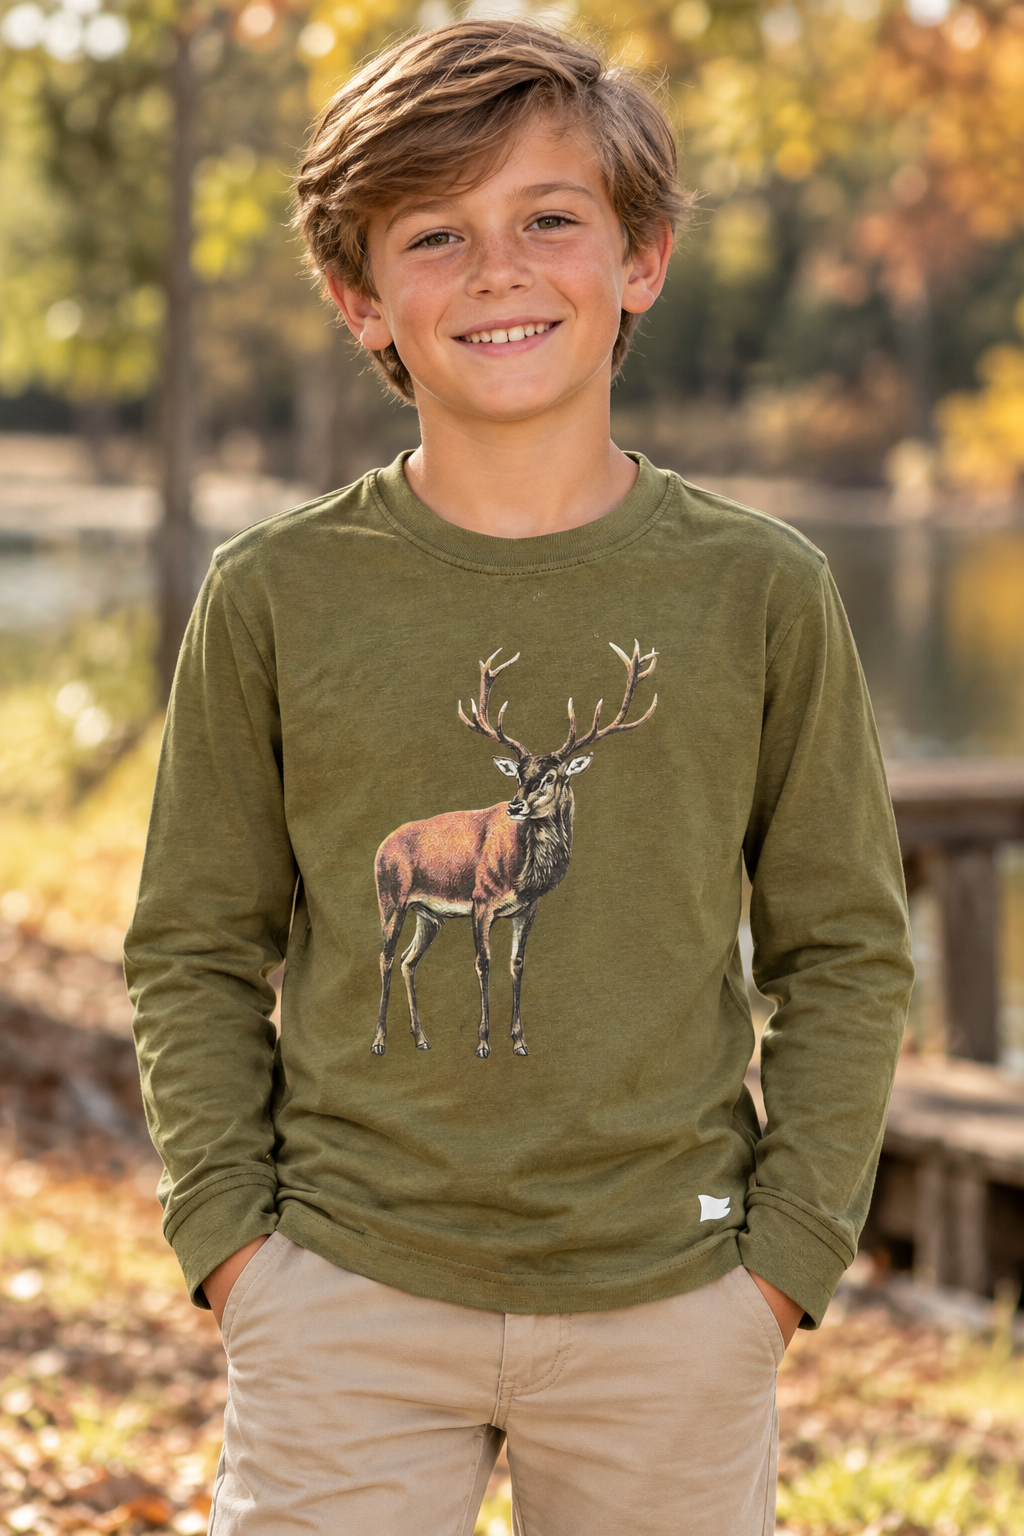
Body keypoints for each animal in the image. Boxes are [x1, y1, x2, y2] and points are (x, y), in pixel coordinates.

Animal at [370, 640, 658, 1058]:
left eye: (552, 776)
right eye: (520, 775)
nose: (515, 805)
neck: (523, 876)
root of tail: (380, 847)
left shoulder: (527, 909)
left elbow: (517, 963)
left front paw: (519, 1041)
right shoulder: (480, 900)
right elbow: (483, 963)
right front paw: (483, 1042)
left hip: (429, 914)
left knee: (409, 961)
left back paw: (421, 1038)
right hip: (391, 898)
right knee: (386, 958)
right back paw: (378, 1040)